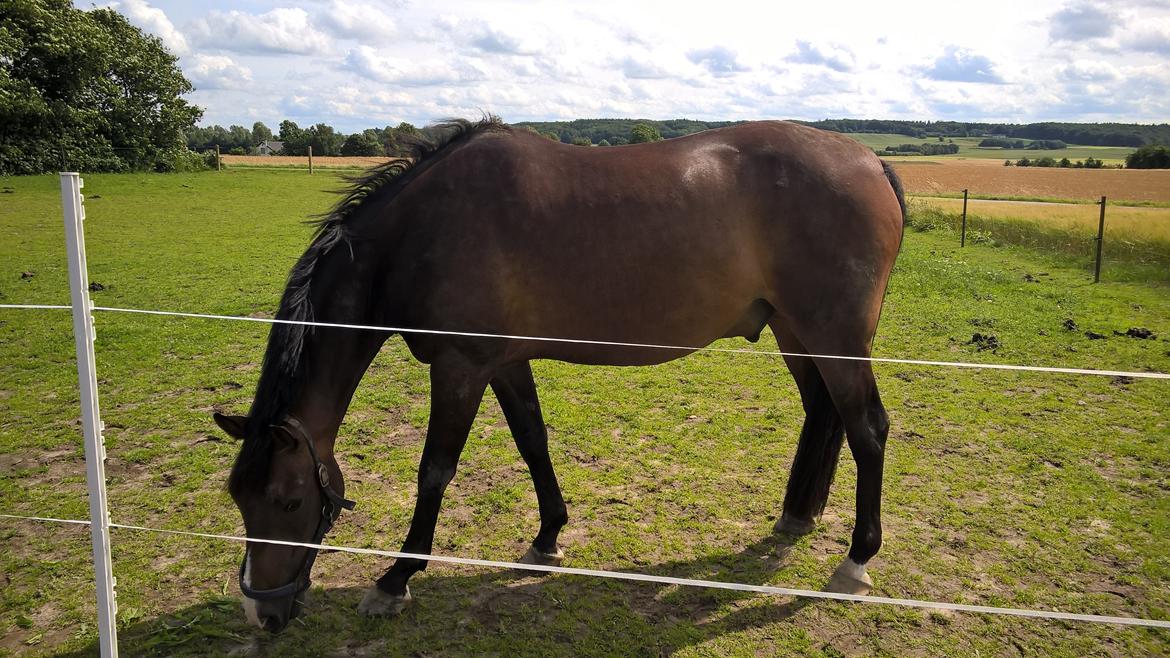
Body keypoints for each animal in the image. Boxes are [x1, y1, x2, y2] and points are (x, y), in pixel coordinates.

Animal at [212, 117, 903, 632]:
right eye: (240, 499)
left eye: (289, 500)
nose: (262, 614)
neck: (422, 230)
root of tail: (870, 162)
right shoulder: (504, 363)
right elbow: (532, 442)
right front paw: (547, 539)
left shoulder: (460, 368)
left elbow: (435, 470)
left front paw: (395, 578)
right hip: (795, 331)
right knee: (824, 414)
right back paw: (797, 517)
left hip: (835, 338)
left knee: (868, 429)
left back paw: (854, 562)